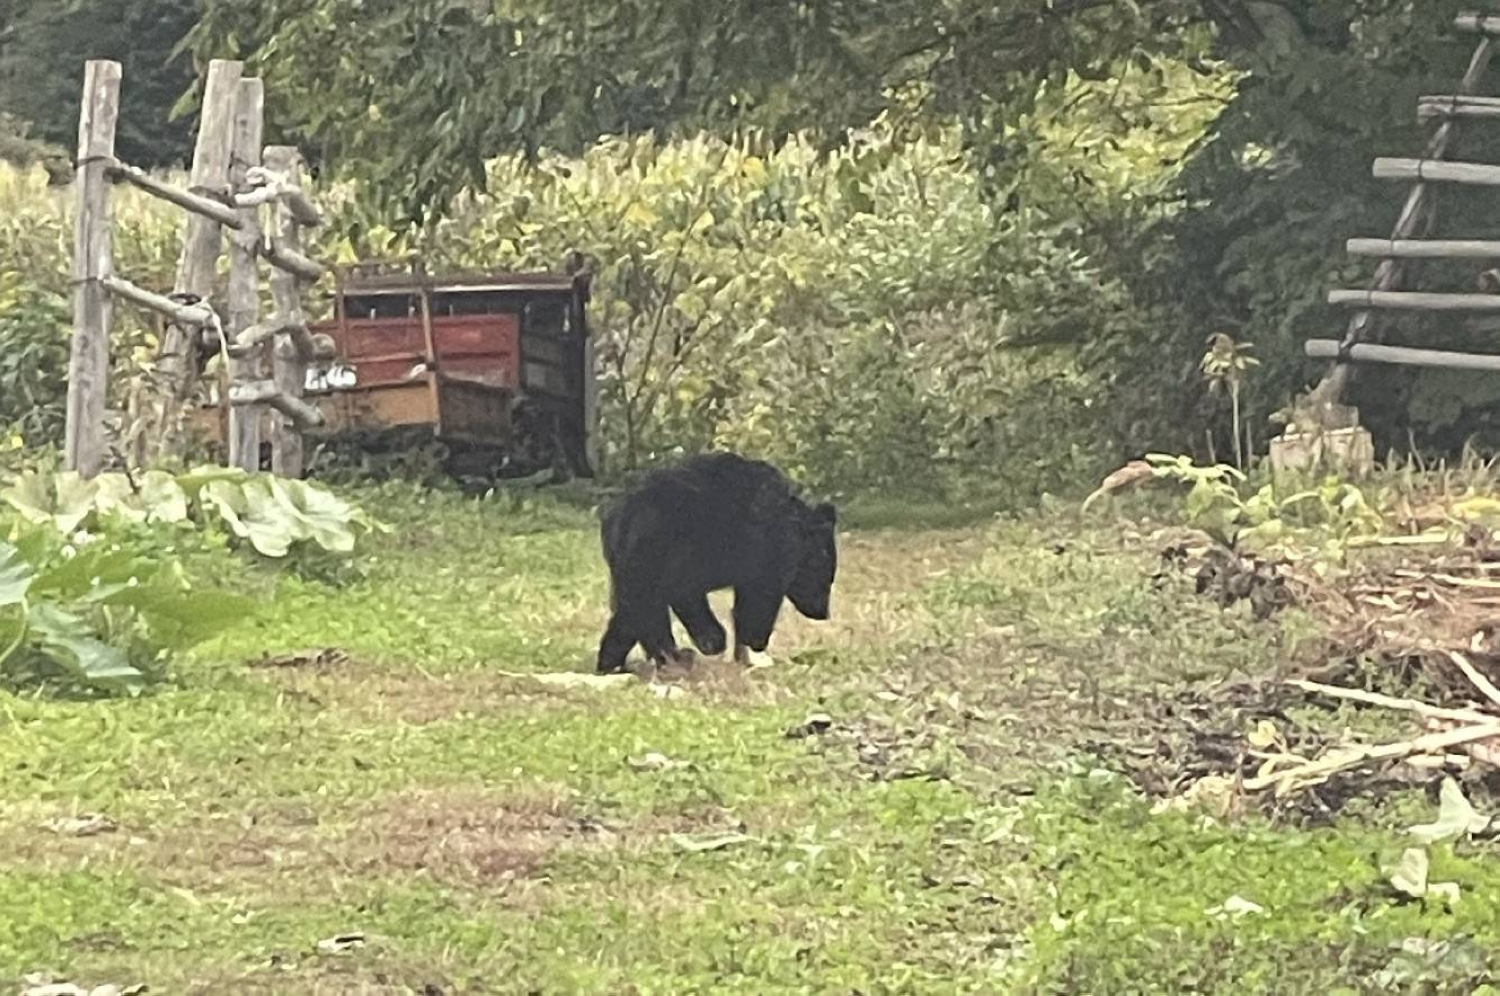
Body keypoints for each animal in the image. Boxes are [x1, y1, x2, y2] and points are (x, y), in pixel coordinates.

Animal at [594, 451, 838, 674]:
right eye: (826, 577)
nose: (823, 612)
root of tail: (619, 516)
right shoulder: (763, 551)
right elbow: (759, 599)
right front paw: (743, 644)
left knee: (639, 605)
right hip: (660, 547)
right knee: (644, 602)